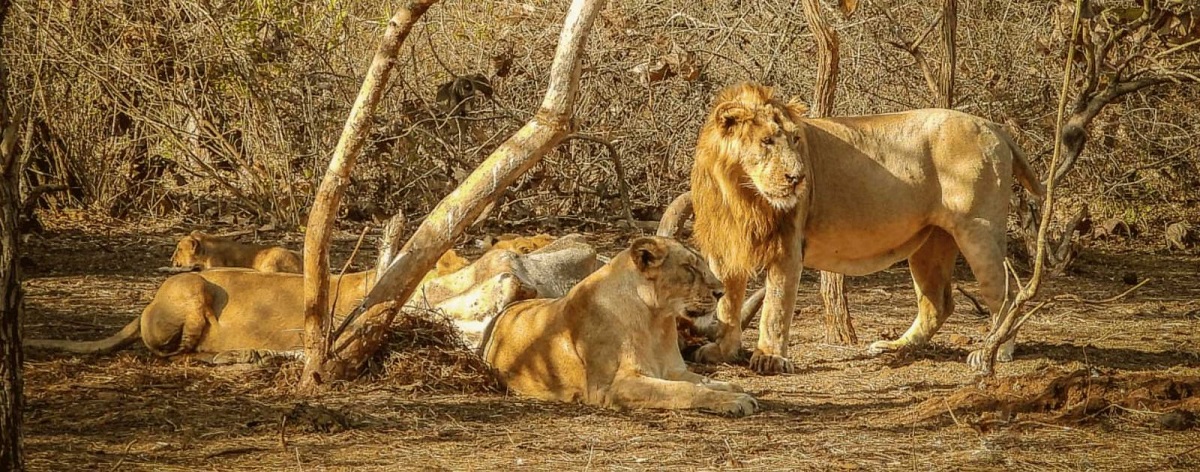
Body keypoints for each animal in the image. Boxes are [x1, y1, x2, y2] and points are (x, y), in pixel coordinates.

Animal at [479, 236, 758, 416]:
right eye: (689, 268)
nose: (721, 292)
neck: (655, 321)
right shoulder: (611, 387)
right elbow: (684, 390)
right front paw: (735, 400)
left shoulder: (672, 369)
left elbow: (700, 380)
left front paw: (730, 387)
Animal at [689, 82, 1045, 374]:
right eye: (766, 141)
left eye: (795, 139)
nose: (798, 178)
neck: (741, 194)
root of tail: (992, 126)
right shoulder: (725, 248)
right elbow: (727, 304)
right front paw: (722, 351)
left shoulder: (787, 246)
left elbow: (775, 308)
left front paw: (769, 358)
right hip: (931, 242)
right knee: (938, 303)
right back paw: (895, 347)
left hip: (978, 230)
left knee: (1006, 293)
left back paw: (995, 350)